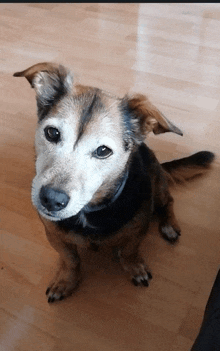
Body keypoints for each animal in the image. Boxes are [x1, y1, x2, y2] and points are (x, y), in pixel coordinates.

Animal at [12, 62, 214, 302]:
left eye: (103, 151)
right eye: (52, 133)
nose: (51, 199)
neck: (88, 211)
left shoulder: (138, 229)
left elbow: (130, 251)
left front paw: (134, 267)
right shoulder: (54, 235)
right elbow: (70, 260)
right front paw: (65, 281)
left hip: (157, 183)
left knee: (168, 202)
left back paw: (169, 226)